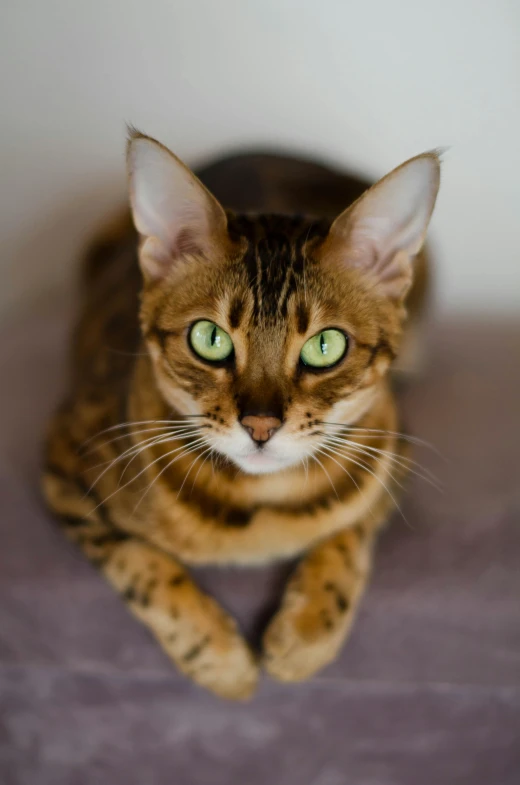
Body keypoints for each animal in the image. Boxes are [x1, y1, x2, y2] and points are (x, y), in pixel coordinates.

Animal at [41, 132, 438, 700]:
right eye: (210, 338)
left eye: (325, 345)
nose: (260, 426)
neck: (262, 509)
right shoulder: (64, 462)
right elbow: (141, 563)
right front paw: (220, 659)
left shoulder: (393, 446)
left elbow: (350, 532)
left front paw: (305, 636)